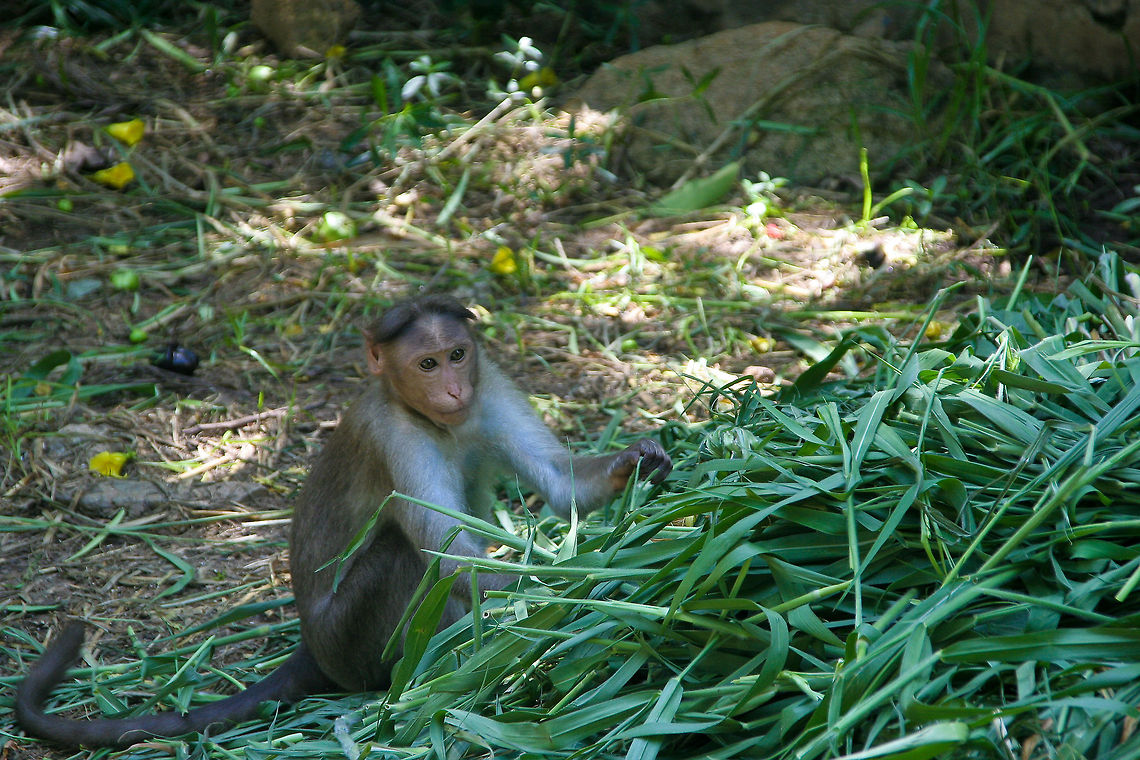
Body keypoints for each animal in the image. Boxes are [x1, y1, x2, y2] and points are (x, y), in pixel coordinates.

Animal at [16, 295, 672, 748]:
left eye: (457, 355)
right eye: (426, 363)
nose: (452, 389)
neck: (434, 420)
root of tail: (313, 646)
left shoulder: (491, 387)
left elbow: (560, 484)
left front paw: (639, 467)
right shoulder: (397, 437)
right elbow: (449, 555)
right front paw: (585, 592)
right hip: (348, 642)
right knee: (402, 556)